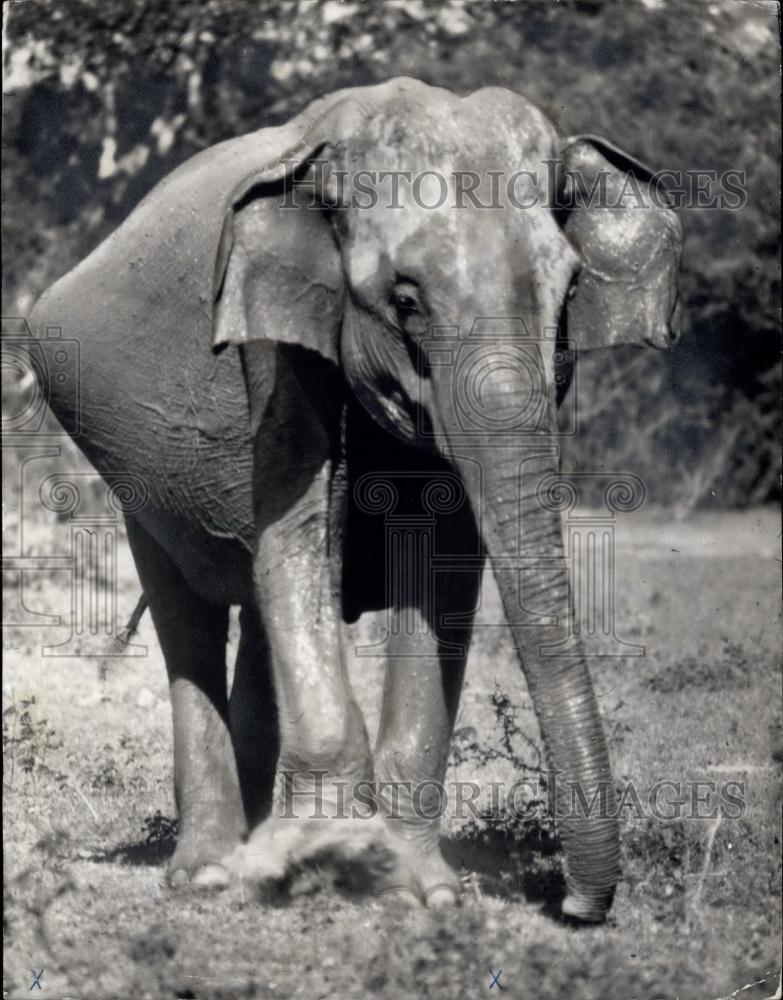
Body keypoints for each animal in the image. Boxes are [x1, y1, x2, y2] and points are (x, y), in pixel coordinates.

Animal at [32, 78, 680, 920]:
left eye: (569, 293)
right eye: (404, 300)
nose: (574, 906)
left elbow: (444, 563)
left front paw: (417, 890)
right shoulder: (272, 339)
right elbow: (297, 528)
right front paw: (325, 868)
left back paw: (253, 844)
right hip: (129, 468)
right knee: (188, 611)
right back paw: (209, 872)